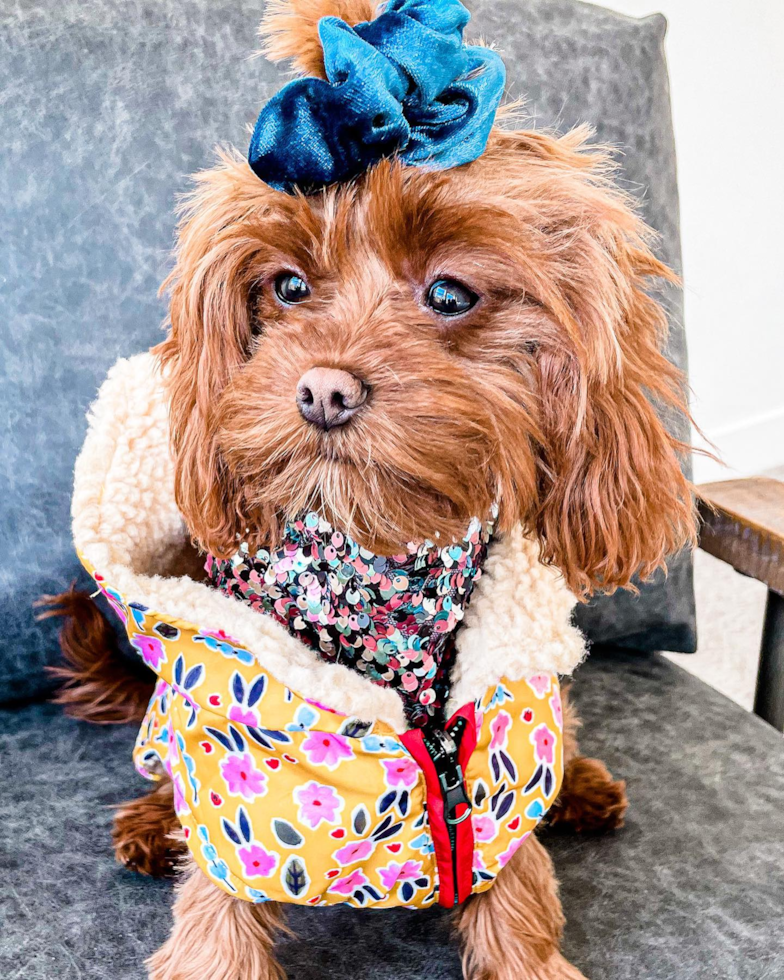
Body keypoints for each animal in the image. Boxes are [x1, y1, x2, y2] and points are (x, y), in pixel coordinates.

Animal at [49, 0, 696, 976]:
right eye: (285, 286)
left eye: (450, 293)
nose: (323, 390)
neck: (375, 568)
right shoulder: (241, 755)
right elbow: (217, 901)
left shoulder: (494, 756)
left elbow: (515, 877)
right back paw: (153, 822)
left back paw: (580, 786)